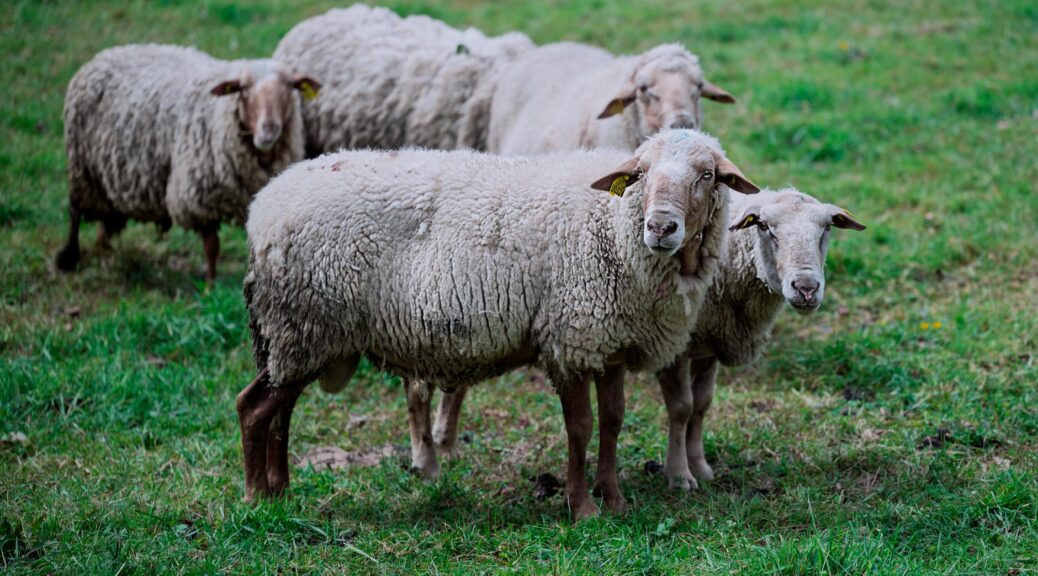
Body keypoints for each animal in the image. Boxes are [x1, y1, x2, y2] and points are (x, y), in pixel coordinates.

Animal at [55, 44, 319, 281]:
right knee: (75, 213)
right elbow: (212, 246)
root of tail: (104, 55)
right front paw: (211, 286)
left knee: (106, 219)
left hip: (106, 175)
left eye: (290, 86)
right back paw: (69, 258)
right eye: (243, 89)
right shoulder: (198, 199)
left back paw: (105, 251)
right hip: (82, 168)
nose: (268, 130)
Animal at [237, 129, 759, 520]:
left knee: (281, 409)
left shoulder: (606, 342)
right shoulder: (569, 338)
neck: (612, 226)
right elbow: (581, 428)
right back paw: (257, 497)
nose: (661, 227)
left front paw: (613, 501)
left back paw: (281, 489)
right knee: (254, 408)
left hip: (299, 336)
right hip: (303, 323)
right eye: (640, 175)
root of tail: (262, 208)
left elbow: (612, 423)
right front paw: (583, 508)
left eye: (707, 175)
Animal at [656, 188, 866, 490]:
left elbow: (701, 404)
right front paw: (679, 475)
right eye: (764, 227)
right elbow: (682, 408)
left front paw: (700, 467)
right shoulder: (672, 346)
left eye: (827, 227)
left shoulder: (708, 343)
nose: (806, 288)